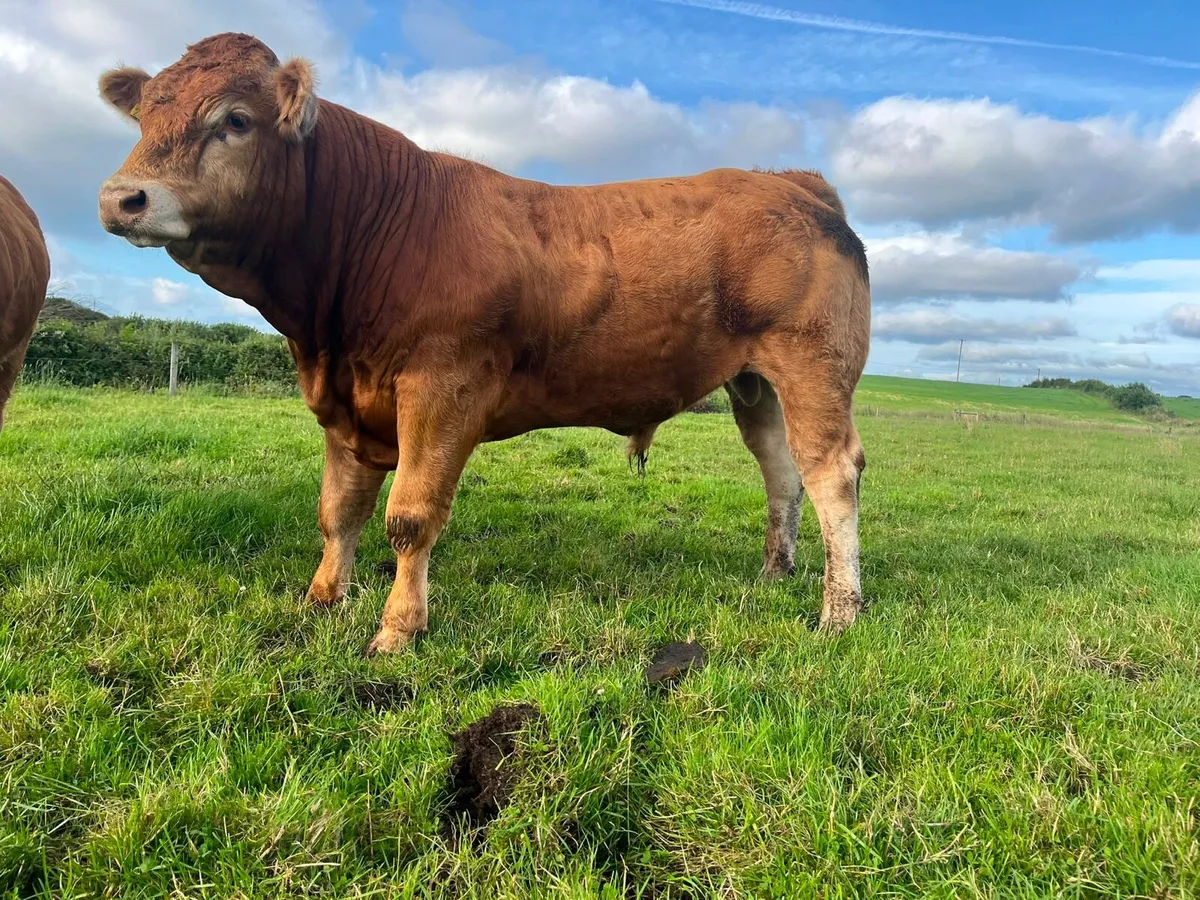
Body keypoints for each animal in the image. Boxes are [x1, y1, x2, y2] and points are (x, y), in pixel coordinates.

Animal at [97, 33, 871, 655]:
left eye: (235, 119)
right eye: (146, 115)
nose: (120, 198)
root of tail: (791, 183)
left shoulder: (444, 389)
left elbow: (410, 517)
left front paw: (397, 629)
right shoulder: (347, 403)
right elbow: (339, 510)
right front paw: (322, 599)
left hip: (814, 364)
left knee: (832, 472)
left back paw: (838, 613)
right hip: (755, 382)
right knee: (781, 471)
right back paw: (774, 572)